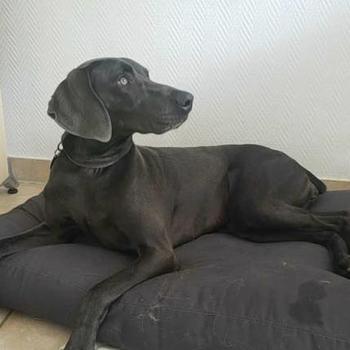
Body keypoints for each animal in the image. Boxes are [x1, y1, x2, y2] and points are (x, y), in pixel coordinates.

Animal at [0, 56, 350, 348]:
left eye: (146, 73)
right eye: (123, 80)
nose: (188, 99)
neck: (93, 170)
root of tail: (298, 164)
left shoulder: (159, 252)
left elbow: (97, 291)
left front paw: (80, 341)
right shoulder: (55, 230)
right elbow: (8, 242)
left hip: (258, 206)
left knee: (339, 218)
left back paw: (345, 261)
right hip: (250, 225)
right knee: (323, 230)